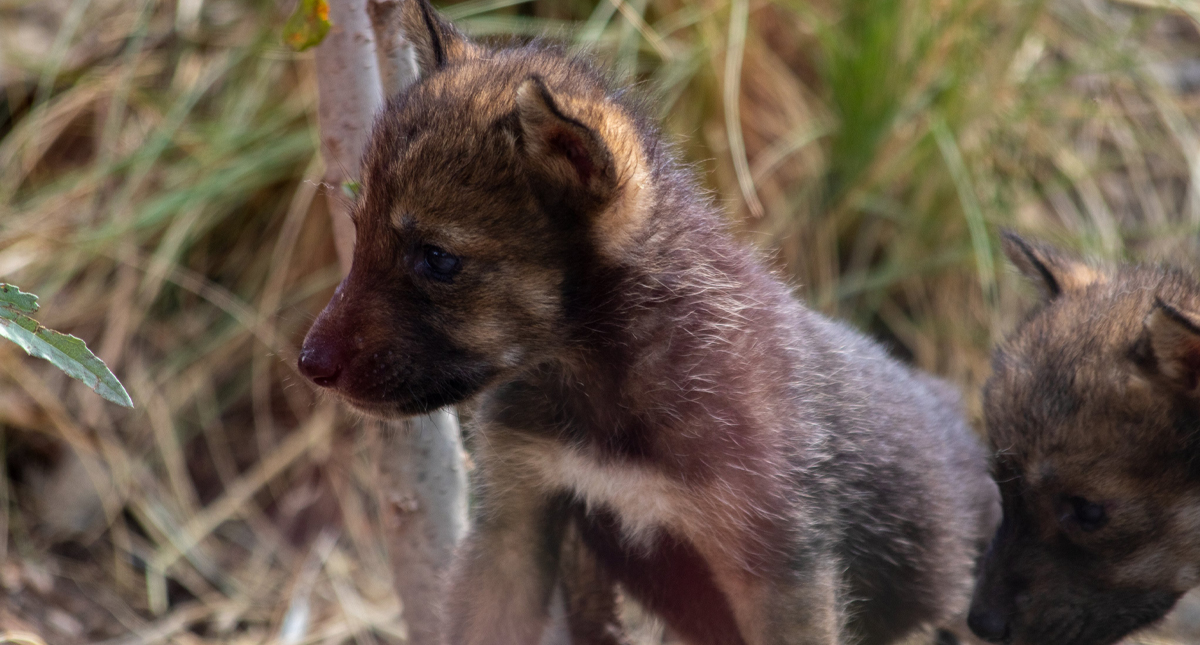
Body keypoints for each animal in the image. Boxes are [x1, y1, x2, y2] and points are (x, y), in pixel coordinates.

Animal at [297, 1, 999, 642]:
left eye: (438, 259)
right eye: (358, 234)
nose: (307, 364)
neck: (606, 386)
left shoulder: (781, 575)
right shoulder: (513, 526)